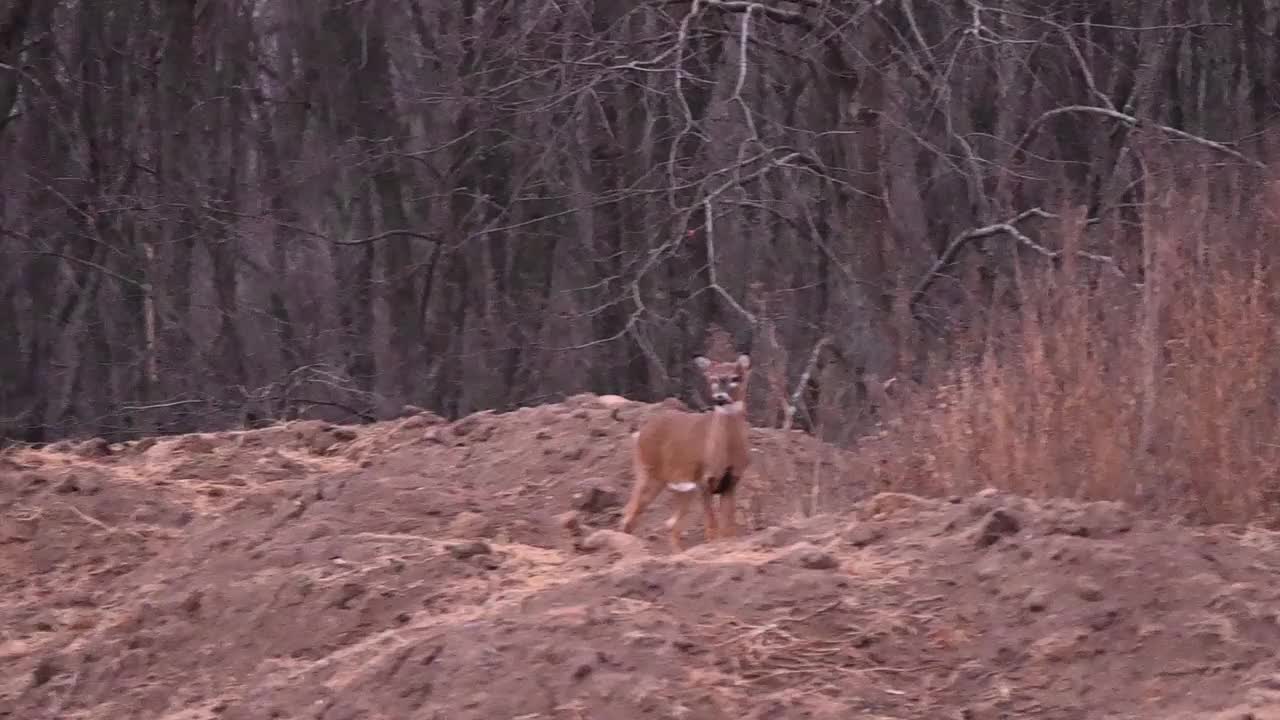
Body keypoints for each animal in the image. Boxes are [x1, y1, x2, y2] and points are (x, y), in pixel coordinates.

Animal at [616, 353, 747, 548]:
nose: (720, 397)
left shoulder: (732, 480)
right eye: (713, 378)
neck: (725, 454)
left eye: (735, 378)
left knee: (670, 524)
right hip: (648, 473)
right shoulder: (703, 480)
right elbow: (711, 525)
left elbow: (729, 526)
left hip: (680, 487)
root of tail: (638, 434)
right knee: (630, 512)